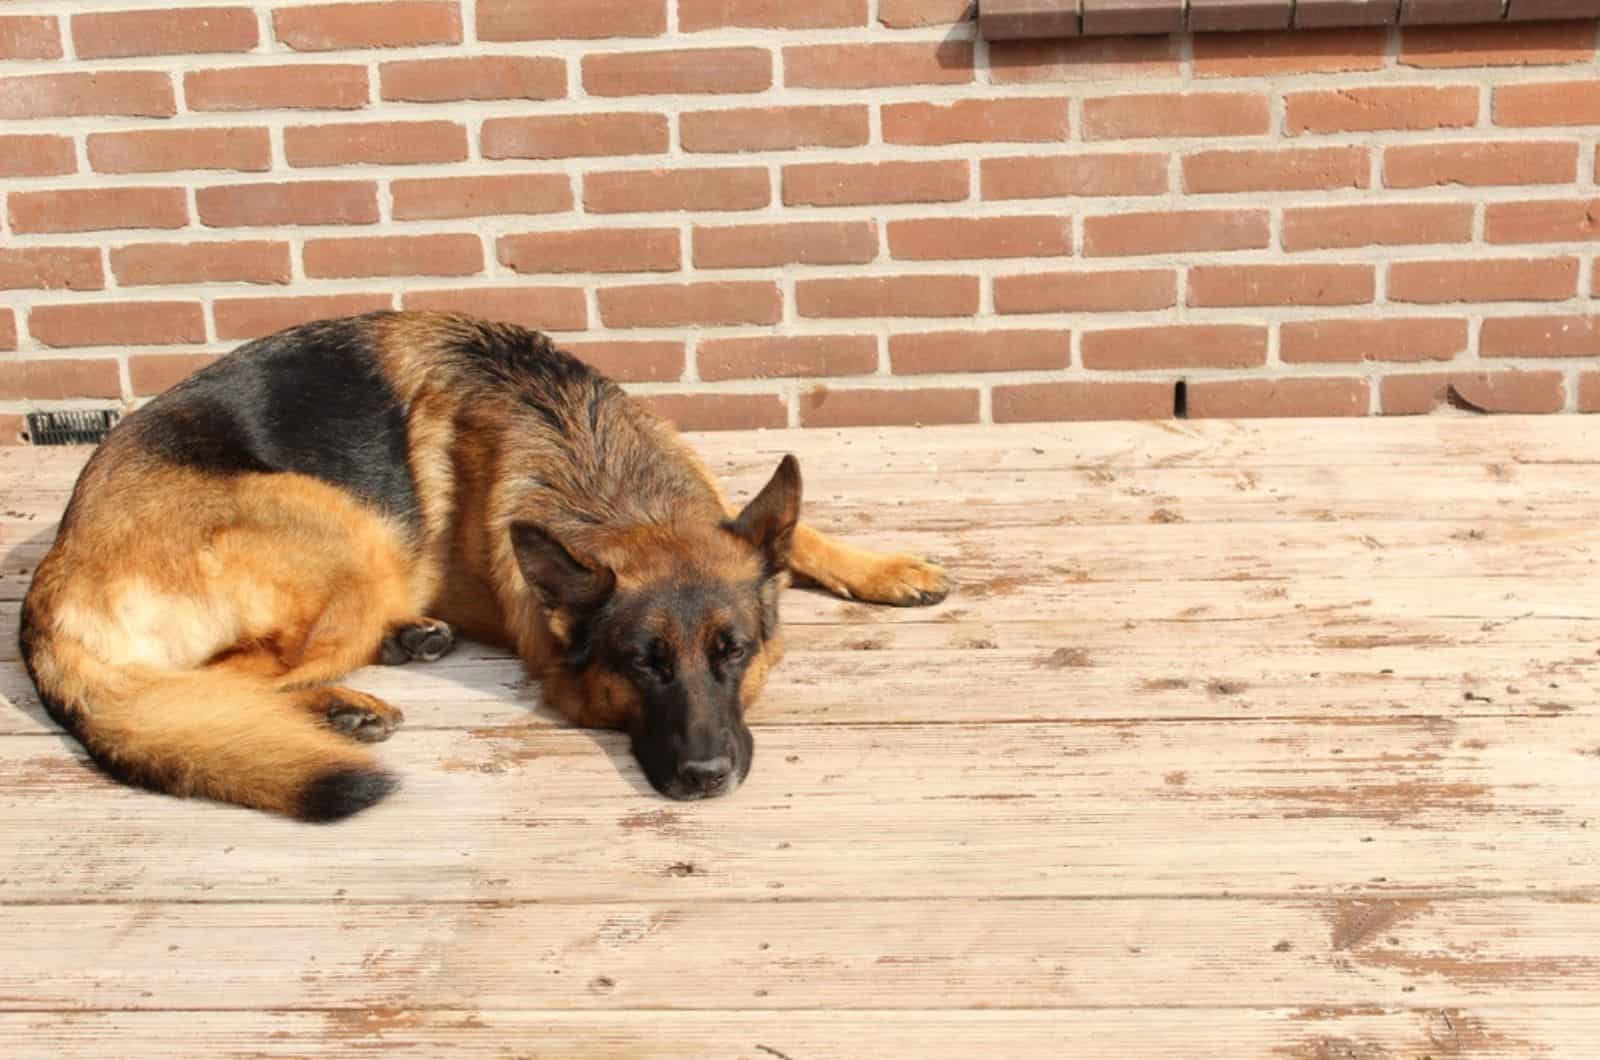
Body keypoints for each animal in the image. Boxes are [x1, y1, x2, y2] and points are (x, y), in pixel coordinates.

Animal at [18, 312, 947, 826]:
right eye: (641, 666)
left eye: (735, 654)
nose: (704, 778)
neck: (608, 480)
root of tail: (55, 573)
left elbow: (796, 533)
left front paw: (887, 566)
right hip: (352, 534)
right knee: (212, 684)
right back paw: (346, 705)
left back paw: (403, 644)